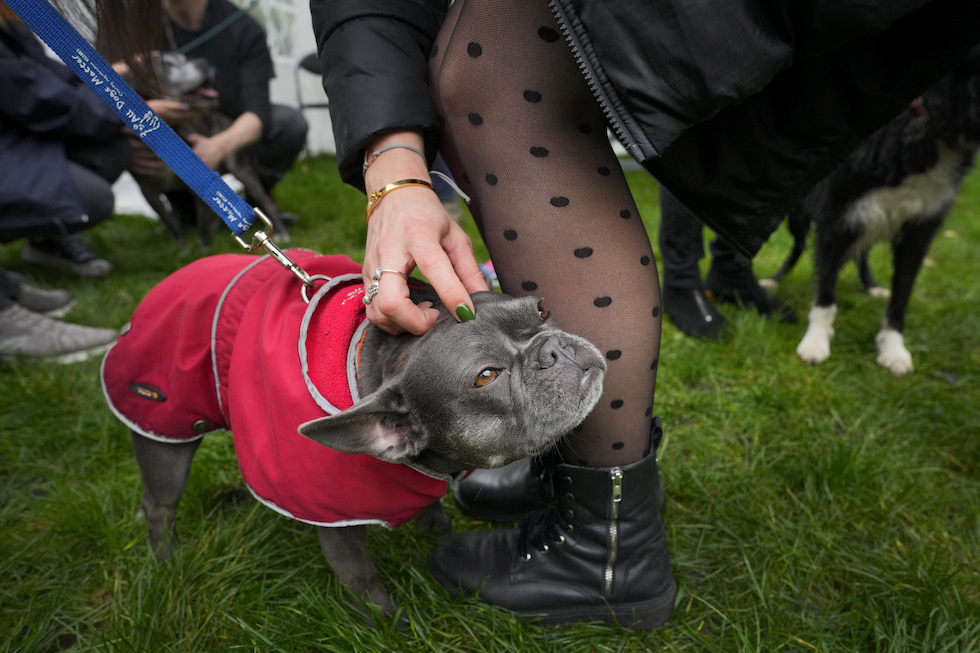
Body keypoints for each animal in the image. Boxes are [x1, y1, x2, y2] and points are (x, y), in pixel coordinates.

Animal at [128, 52, 288, 246]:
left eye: (184, 58)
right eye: (167, 64)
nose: (203, 63)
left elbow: (202, 222)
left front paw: (204, 247)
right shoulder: (147, 191)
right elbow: (170, 222)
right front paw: (182, 246)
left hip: (241, 168)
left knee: (264, 200)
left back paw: (280, 232)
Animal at [764, 51, 980, 374]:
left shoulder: (917, 233)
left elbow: (901, 297)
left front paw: (893, 348)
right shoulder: (837, 219)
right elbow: (825, 294)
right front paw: (816, 342)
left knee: (862, 253)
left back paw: (872, 287)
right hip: (799, 218)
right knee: (799, 246)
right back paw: (774, 280)